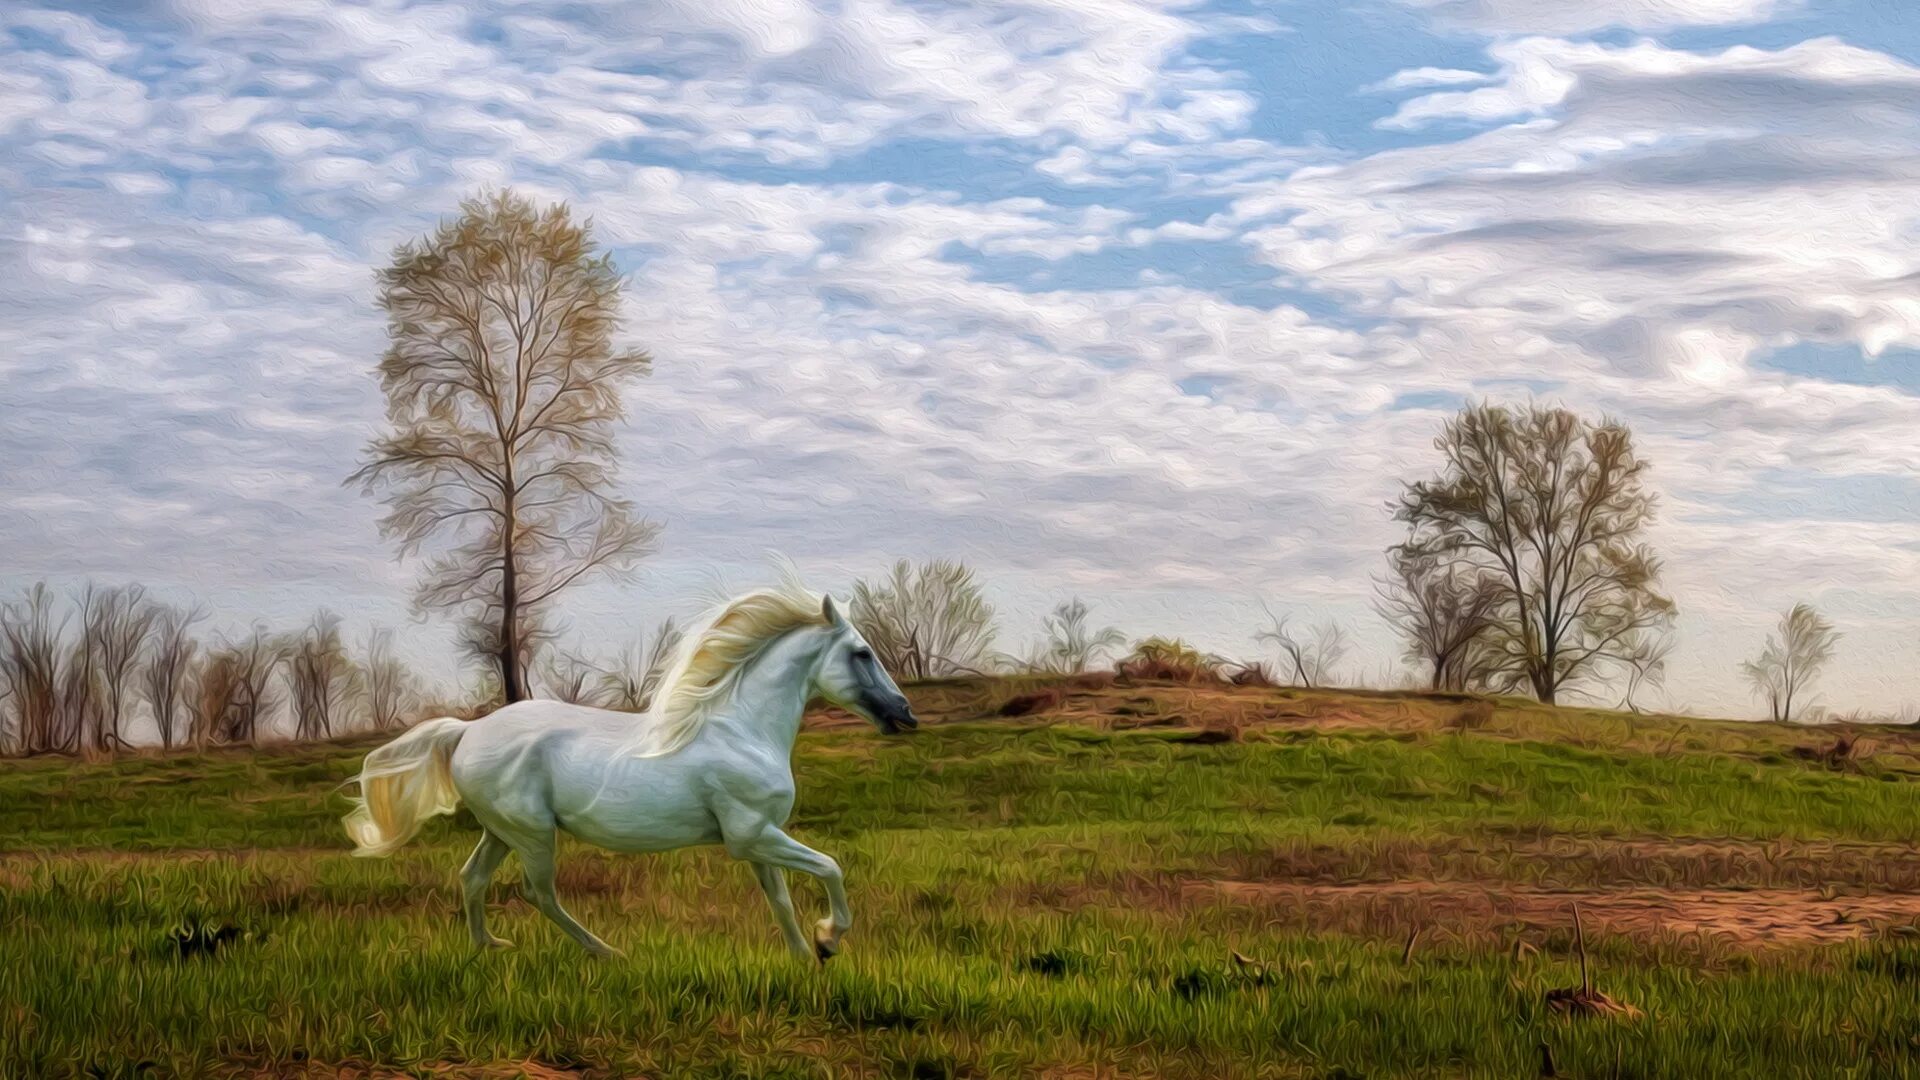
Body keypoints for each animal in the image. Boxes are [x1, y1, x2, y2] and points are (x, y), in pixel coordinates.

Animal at [341, 580, 917, 957]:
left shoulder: (759, 839)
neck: (741, 730)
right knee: (537, 892)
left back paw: (491, 947)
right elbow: (829, 867)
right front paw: (828, 937)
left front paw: (806, 957)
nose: (905, 713)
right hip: (532, 834)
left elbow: (779, 900)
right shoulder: (751, 834)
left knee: (472, 878)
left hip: (500, 831)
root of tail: (467, 732)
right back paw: (607, 952)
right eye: (862, 652)